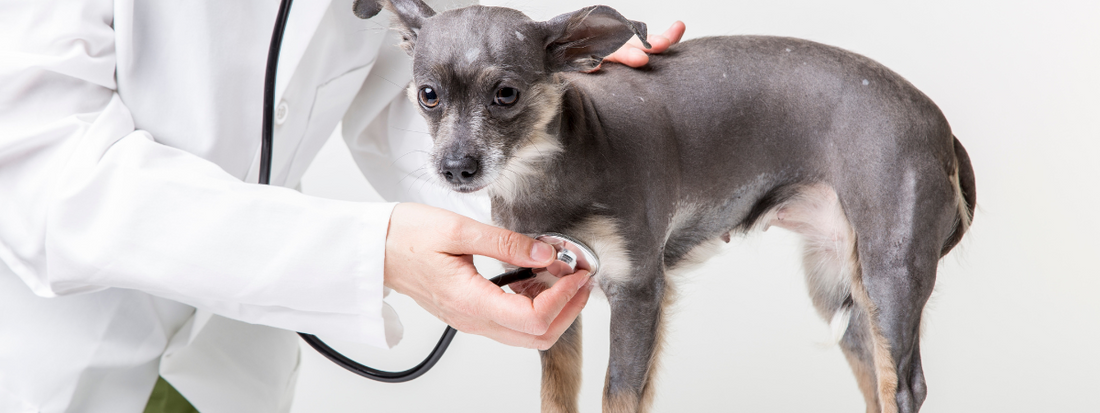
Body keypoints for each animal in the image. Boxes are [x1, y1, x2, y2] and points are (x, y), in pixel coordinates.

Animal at [356, 1, 976, 411]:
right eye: (427, 95)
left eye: (505, 94)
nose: (455, 168)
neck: (553, 169)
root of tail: (941, 128)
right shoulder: (551, 301)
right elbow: (558, 398)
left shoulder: (638, 291)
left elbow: (619, 395)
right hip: (842, 293)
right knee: (876, 378)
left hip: (890, 274)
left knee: (905, 386)